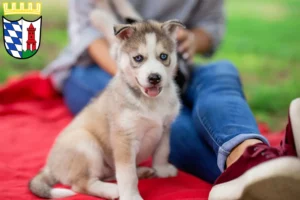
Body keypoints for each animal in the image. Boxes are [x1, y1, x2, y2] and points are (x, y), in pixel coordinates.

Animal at [28, 18, 183, 199]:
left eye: (163, 56)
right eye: (138, 58)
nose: (154, 78)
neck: (150, 102)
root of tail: (50, 167)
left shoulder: (165, 128)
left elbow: (162, 152)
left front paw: (162, 170)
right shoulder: (124, 138)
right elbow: (128, 174)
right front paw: (131, 196)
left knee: (109, 174)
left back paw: (142, 171)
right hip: (85, 144)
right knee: (82, 184)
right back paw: (112, 190)